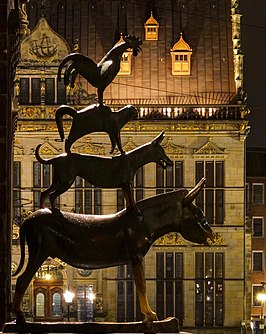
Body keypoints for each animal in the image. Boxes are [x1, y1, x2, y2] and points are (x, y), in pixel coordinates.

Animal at [35, 131, 172, 214]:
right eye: (162, 151)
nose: (170, 162)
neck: (131, 159)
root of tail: (55, 158)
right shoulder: (127, 183)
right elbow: (131, 199)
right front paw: (137, 212)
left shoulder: (124, 185)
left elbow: (128, 199)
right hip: (66, 181)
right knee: (52, 195)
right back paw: (53, 211)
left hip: (57, 180)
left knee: (44, 193)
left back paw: (41, 210)